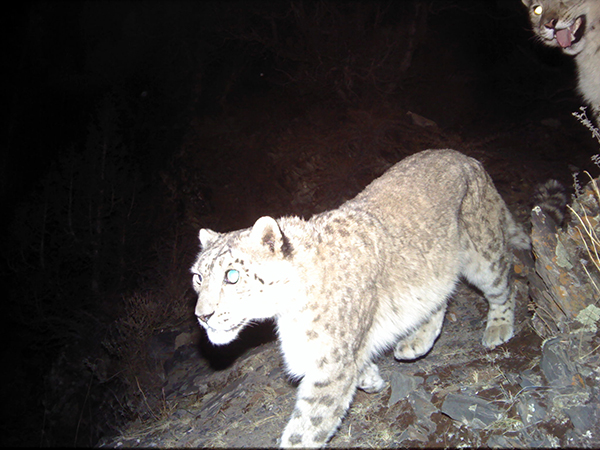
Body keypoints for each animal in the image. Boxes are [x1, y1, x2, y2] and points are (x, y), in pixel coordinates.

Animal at [191, 150, 528, 446]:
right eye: (197, 277)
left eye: (232, 275)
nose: (202, 316)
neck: (287, 313)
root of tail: (465, 157)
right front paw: (372, 377)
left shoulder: (330, 364)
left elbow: (306, 428)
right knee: (439, 295)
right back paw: (416, 342)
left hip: (483, 254)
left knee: (503, 281)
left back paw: (498, 328)